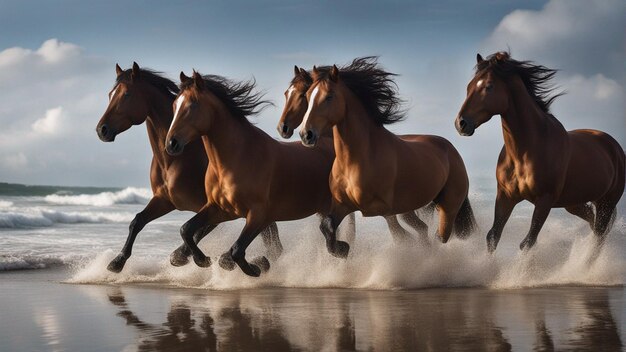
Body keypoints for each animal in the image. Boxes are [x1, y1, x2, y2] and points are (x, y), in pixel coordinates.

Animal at [95, 62, 280, 272]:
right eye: (110, 94)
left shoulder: (214, 207)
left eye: (126, 94)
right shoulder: (164, 200)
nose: (102, 130)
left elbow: (193, 233)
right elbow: (137, 221)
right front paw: (117, 262)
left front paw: (189, 258)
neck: (174, 160)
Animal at [166, 71, 338, 276]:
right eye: (174, 105)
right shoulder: (219, 208)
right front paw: (202, 259)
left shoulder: (258, 214)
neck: (236, 159)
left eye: (193, 105)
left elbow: (237, 250)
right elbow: (186, 229)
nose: (171, 144)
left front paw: (257, 266)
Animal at [300, 57, 476, 256]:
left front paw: (344, 247)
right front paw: (342, 249)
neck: (356, 160)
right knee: (424, 229)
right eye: (307, 96)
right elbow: (327, 225)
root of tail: (451, 149)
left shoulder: (378, 208)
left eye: (329, 96)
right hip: (416, 207)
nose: (306, 134)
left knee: (439, 236)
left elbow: (400, 235)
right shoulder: (342, 205)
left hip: (448, 205)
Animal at [454, 52, 624, 252]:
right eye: (469, 86)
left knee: (599, 236)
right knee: (592, 220)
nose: (461, 123)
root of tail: (614, 146)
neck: (525, 151)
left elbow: (528, 242)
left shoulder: (544, 202)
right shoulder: (505, 197)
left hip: (607, 203)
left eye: (488, 86)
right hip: (574, 203)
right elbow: (493, 236)